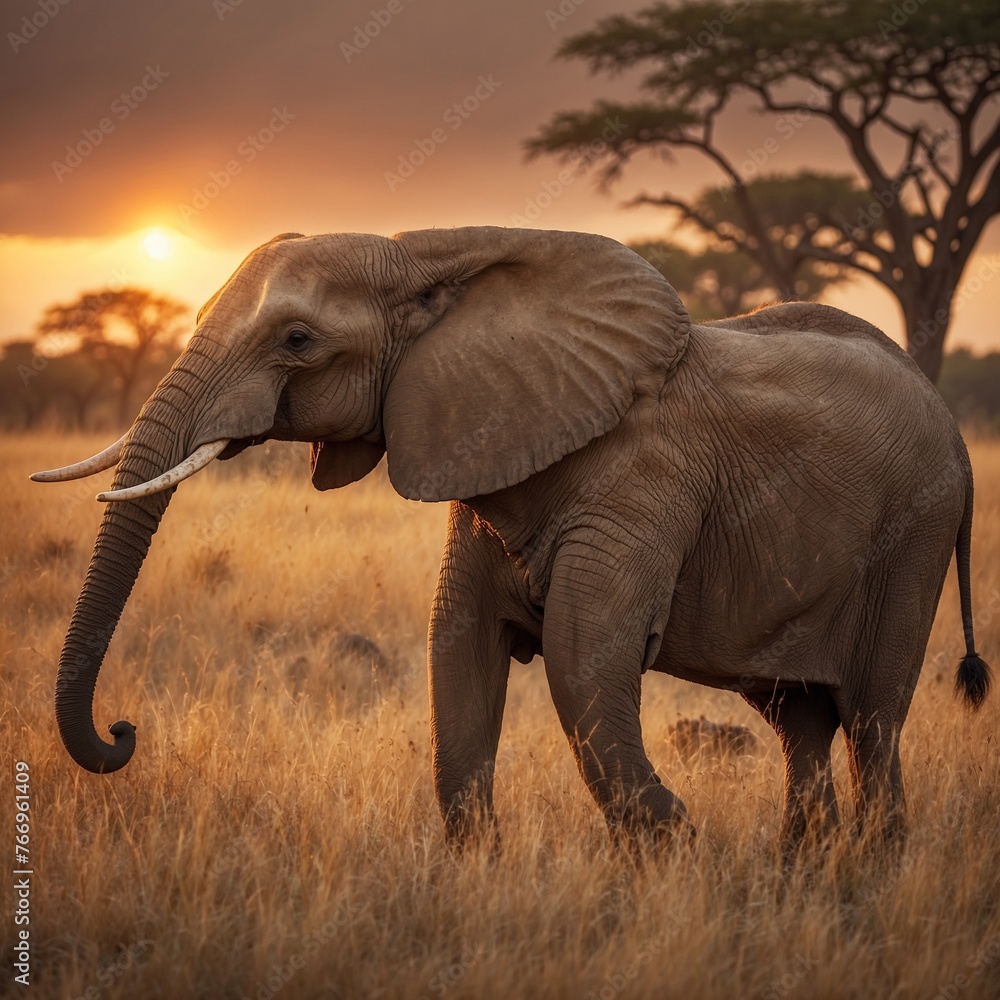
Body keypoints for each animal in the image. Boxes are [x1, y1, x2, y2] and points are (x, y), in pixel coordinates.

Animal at [33, 227, 991, 853]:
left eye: (297, 339)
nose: (123, 731)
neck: (428, 254)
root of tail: (953, 429)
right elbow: (457, 642)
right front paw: (483, 868)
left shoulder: (647, 482)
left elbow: (581, 652)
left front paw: (682, 852)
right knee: (801, 723)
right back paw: (803, 876)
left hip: (914, 533)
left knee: (870, 719)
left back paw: (866, 875)